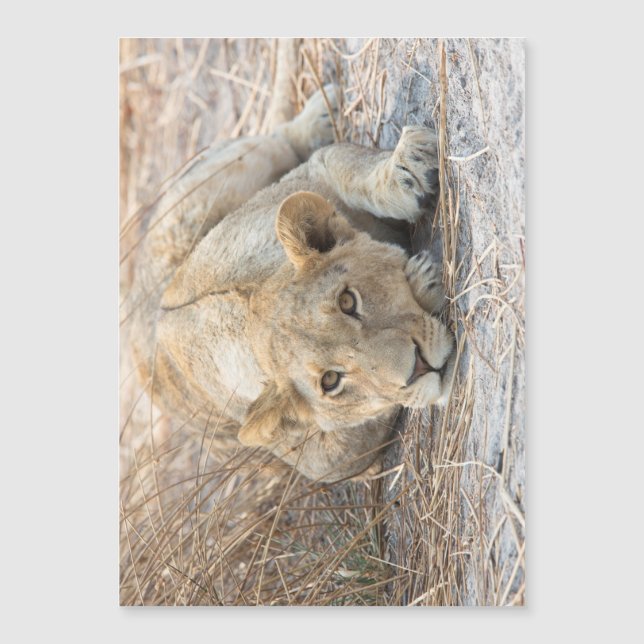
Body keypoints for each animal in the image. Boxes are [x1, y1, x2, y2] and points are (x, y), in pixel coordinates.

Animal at [126, 76, 456, 483]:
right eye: (330, 381)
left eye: (347, 301)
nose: (420, 367)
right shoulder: (328, 463)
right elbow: (374, 420)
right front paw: (422, 280)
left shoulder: (304, 181)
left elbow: (346, 165)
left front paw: (408, 167)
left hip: (223, 181)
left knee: (277, 138)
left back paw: (319, 116)